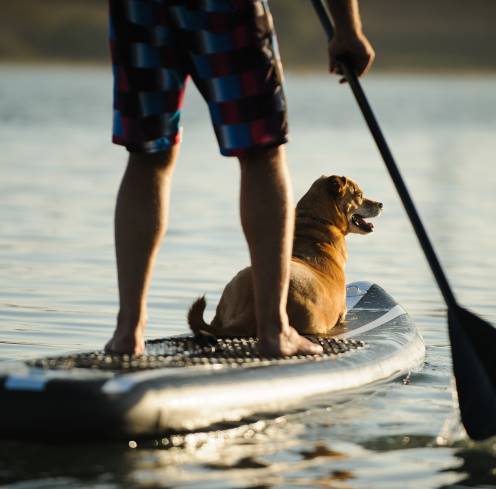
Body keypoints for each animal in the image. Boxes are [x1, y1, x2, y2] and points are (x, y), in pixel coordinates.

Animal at [188, 174, 382, 336]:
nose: (381, 204)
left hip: (238, 280)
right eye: (359, 194)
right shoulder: (342, 314)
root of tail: (254, 309)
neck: (316, 222)